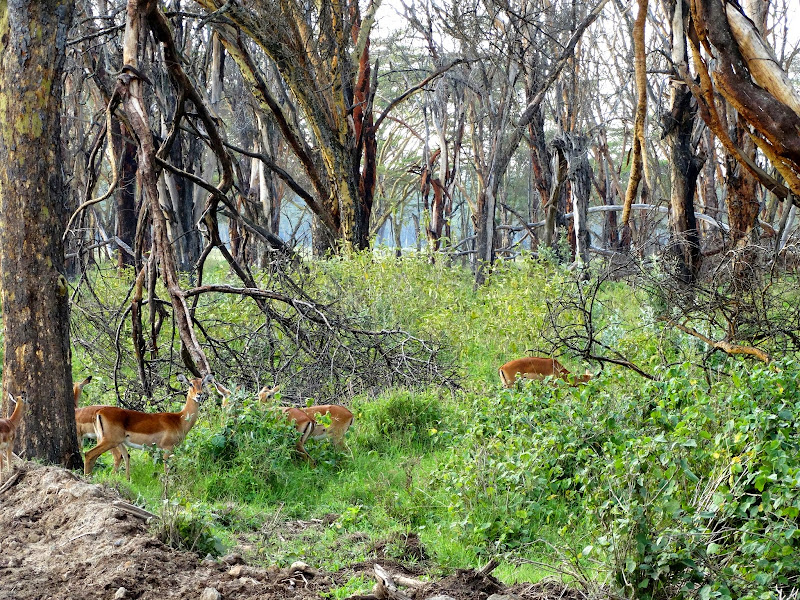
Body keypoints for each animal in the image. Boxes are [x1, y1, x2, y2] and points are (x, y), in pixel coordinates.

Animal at [84, 372, 212, 476]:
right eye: (190, 384)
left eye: (202, 383)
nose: (199, 394)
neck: (179, 420)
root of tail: (99, 412)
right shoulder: (167, 449)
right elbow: (166, 471)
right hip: (110, 441)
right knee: (89, 454)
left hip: (112, 441)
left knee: (117, 457)